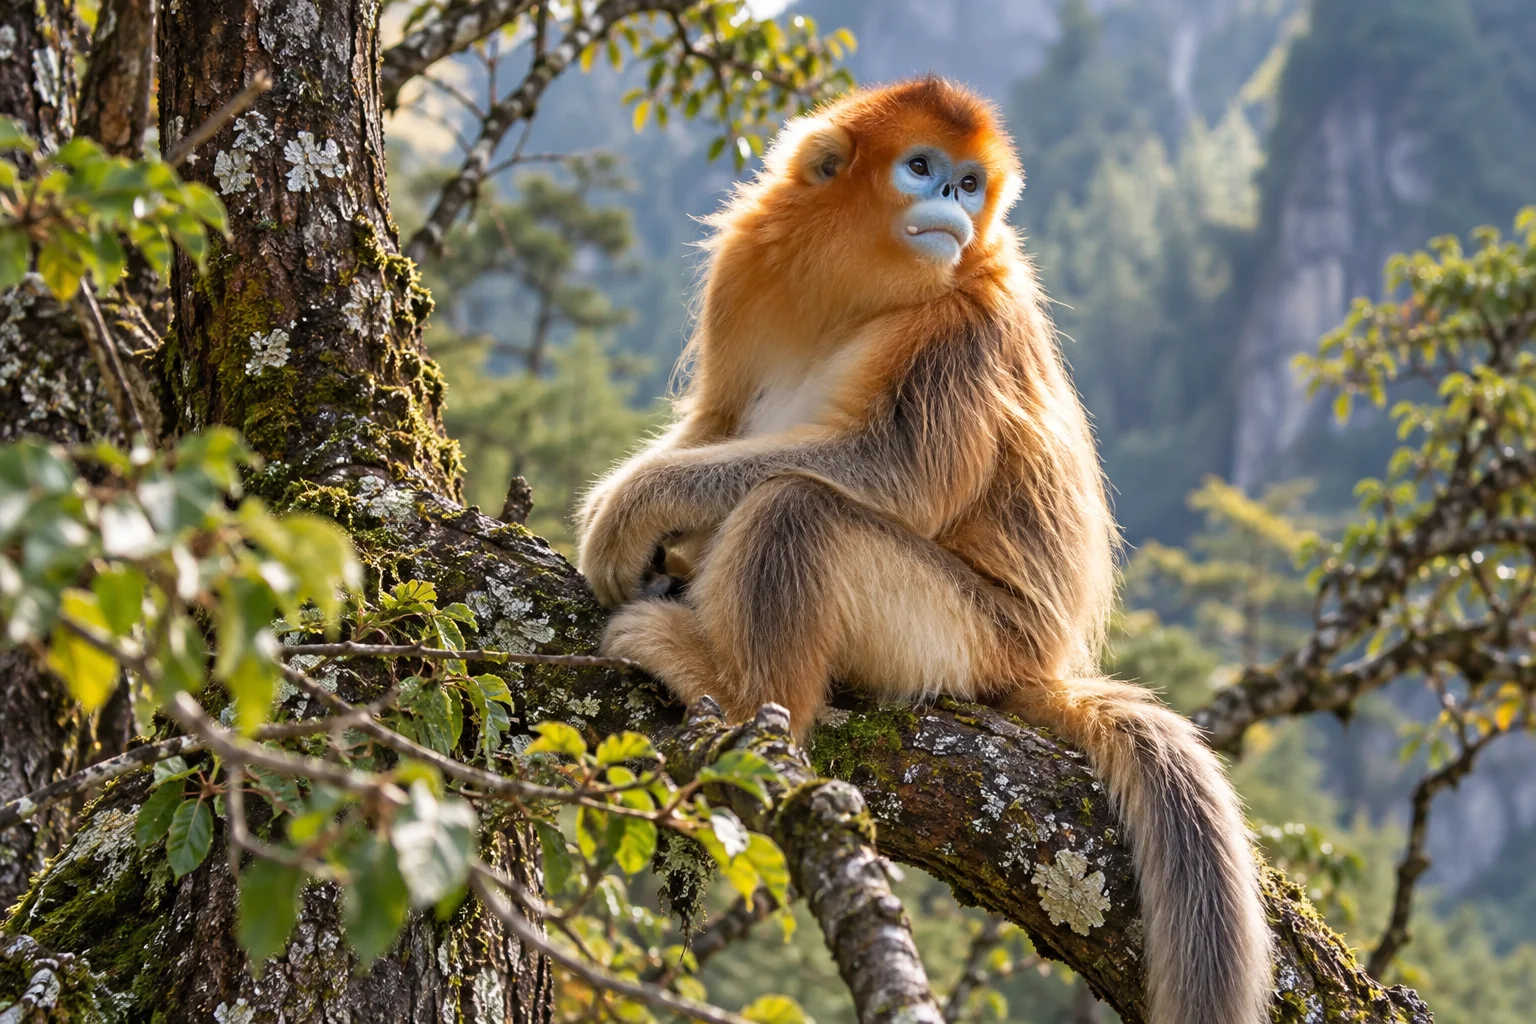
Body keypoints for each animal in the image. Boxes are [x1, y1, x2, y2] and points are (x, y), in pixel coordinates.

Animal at [575, 77, 1272, 1024]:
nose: (950, 198)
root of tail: (1041, 666)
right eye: (922, 167)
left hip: (963, 634)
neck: (857, 281)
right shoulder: (748, 265)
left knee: (796, 508)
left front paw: (630, 508)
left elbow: (895, 470)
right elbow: (716, 418)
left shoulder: (969, 318)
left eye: (971, 183)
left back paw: (738, 693)